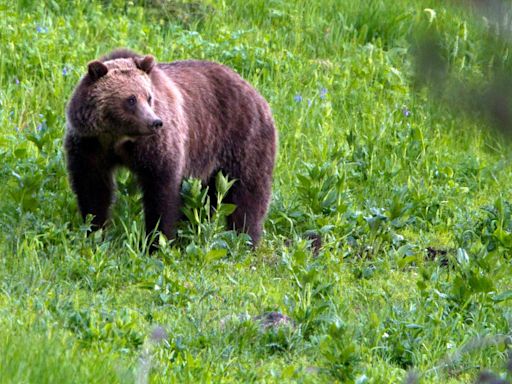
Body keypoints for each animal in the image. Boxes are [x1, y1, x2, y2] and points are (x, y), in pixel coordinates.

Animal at [66, 48, 278, 249]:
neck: (118, 138)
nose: (155, 122)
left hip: (242, 139)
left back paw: (245, 239)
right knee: (207, 198)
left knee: (247, 193)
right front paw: (94, 232)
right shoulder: (89, 146)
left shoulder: (156, 146)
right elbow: (92, 189)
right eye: (131, 99)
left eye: (148, 97)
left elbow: (161, 191)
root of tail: (255, 92)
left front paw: (156, 241)